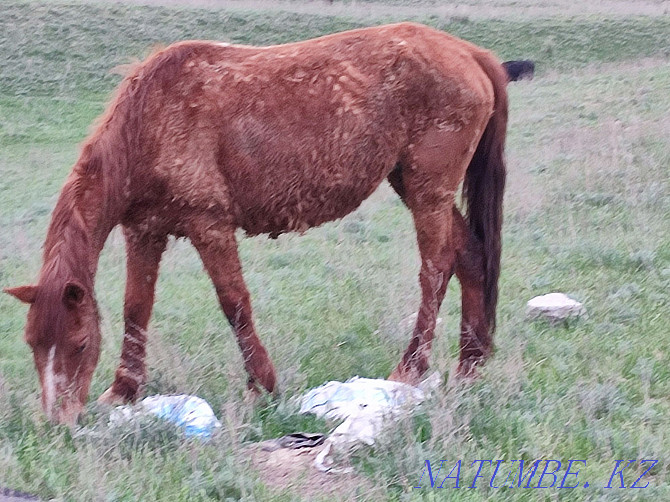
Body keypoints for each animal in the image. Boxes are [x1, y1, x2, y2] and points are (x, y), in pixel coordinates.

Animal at [6, 22, 510, 424]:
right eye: (32, 345)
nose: (58, 422)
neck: (150, 120)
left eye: (79, 344)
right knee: (470, 256)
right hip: (414, 185)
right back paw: (470, 365)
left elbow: (234, 304)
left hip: (428, 192)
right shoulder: (145, 232)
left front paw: (261, 386)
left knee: (436, 270)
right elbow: (137, 307)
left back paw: (410, 369)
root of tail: (470, 53)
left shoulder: (208, 225)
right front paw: (124, 390)